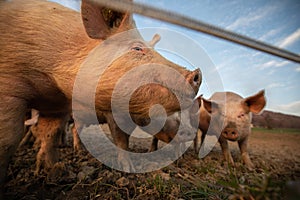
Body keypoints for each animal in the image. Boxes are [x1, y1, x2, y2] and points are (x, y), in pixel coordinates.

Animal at [0, 0, 202, 189]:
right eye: (137, 48)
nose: (197, 73)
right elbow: (9, 139)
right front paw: (128, 169)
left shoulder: (58, 105)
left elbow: (51, 133)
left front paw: (51, 170)